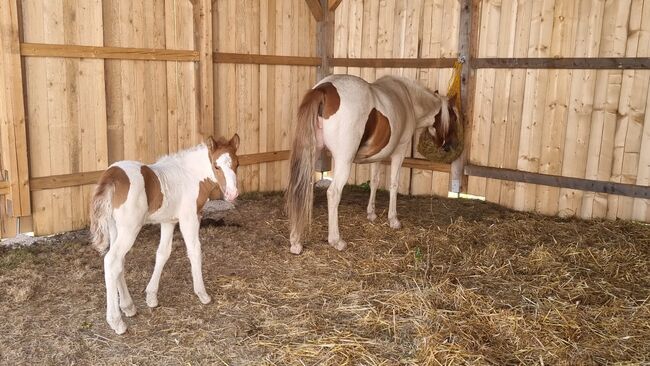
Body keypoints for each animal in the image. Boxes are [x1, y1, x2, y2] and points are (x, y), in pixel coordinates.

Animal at [90, 135, 239, 334]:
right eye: (216, 166)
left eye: (237, 164)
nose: (232, 194)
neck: (190, 175)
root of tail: (112, 175)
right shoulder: (190, 218)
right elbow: (195, 251)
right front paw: (202, 294)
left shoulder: (169, 221)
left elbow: (163, 253)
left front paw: (151, 297)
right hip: (130, 228)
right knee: (111, 261)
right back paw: (116, 321)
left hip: (115, 228)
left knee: (118, 262)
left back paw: (128, 307)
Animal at [286, 73, 458, 253]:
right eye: (454, 117)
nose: (450, 145)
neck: (409, 99)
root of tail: (324, 89)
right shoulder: (400, 151)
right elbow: (393, 184)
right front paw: (393, 219)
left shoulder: (378, 156)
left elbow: (374, 182)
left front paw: (371, 213)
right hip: (344, 160)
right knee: (333, 193)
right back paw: (336, 241)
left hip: (312, 154)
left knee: (299, 188)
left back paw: (296, 242)